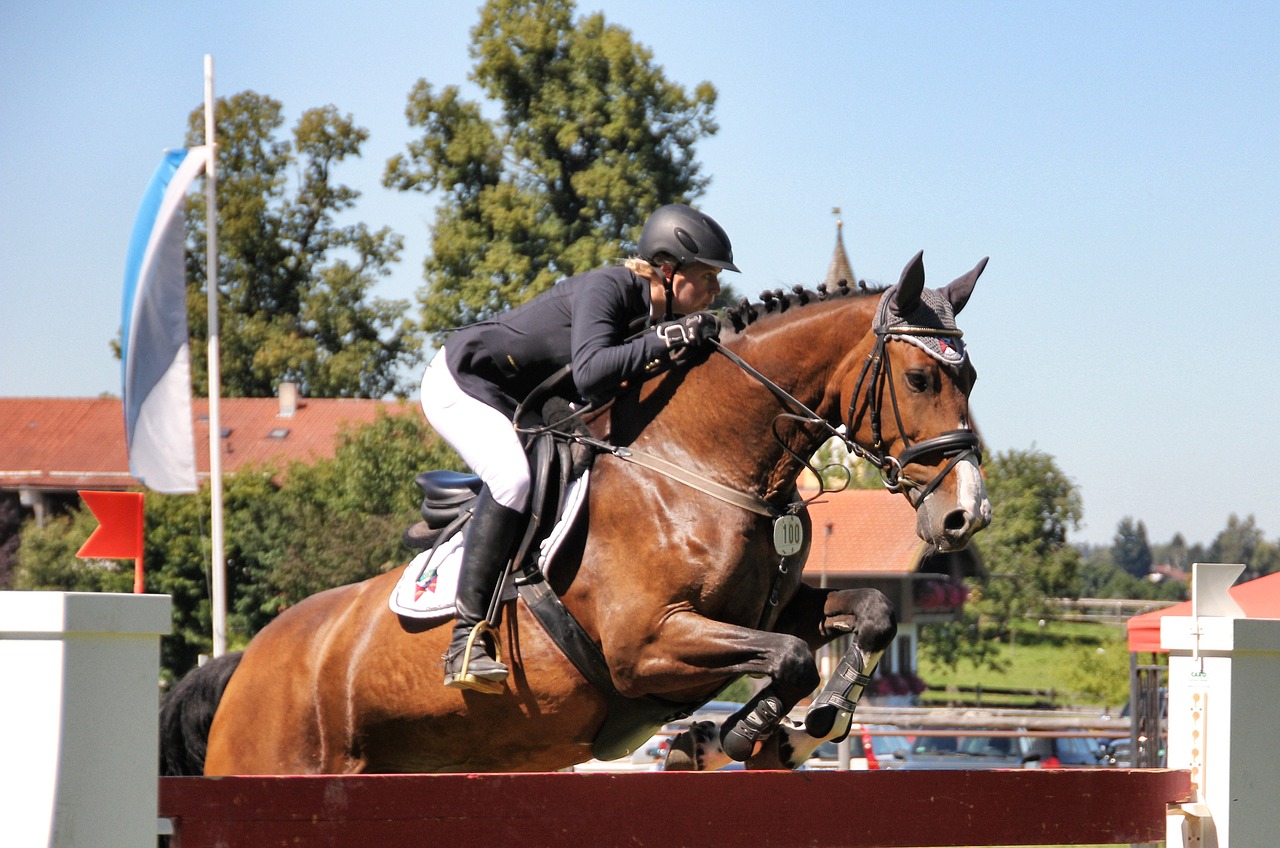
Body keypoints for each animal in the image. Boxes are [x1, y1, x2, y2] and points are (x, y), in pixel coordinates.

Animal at [167, 251, 988, 778]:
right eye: (920, 378)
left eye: (971, 376)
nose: (966, 515)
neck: (699, 467)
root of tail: (246, 664)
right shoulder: (646, 645)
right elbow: (785, 658)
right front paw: (743, 732)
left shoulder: (766, 608)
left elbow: (869, 613)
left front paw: (812, 724)